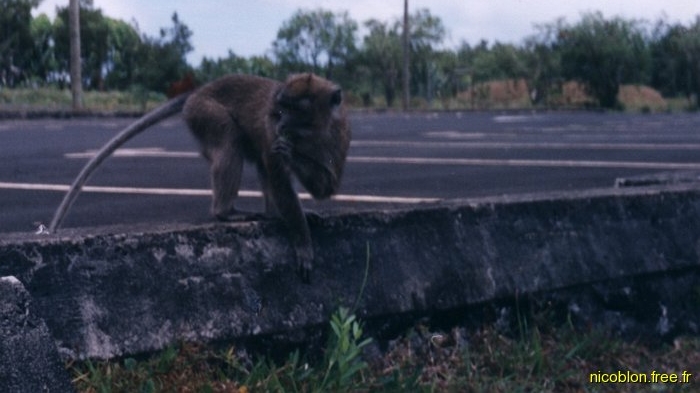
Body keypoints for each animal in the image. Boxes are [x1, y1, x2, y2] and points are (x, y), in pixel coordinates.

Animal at [50, 73, 352, 280]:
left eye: (297, 110)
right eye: (281, 110)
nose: (281, 123)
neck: (312, 134)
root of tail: (200, 90)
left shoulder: (340, 134)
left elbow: (326, 186)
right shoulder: (271, 131)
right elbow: (277, 169)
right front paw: (303, 243)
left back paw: (273, 214)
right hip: (203, 112)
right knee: (230, 140)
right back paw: (226, 212)